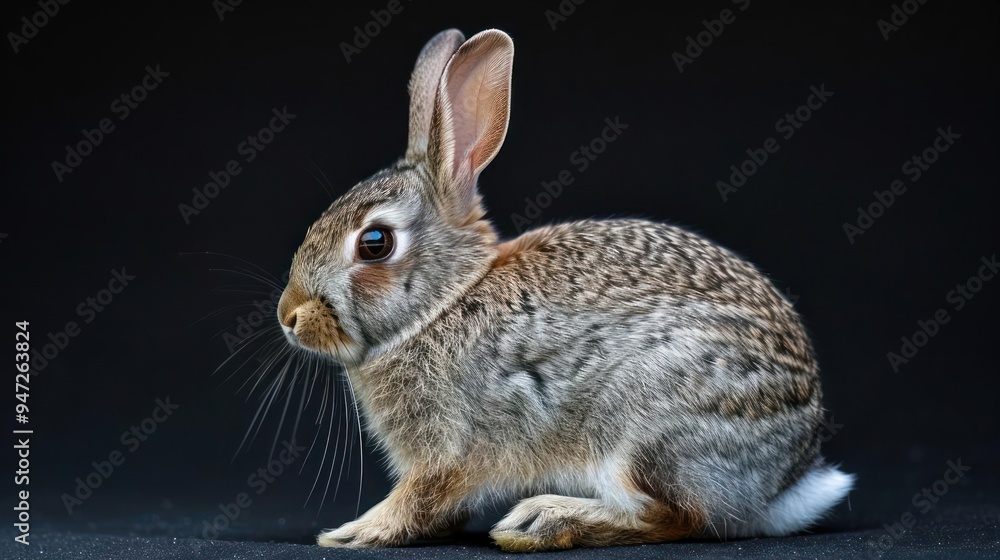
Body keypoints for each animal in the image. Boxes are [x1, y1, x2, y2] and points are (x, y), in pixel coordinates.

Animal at [276, 27, 855, 552]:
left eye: (375, 243)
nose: (289, 315)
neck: (445, 302)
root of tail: (786, 480)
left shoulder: (449, 450)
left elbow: (420, 497)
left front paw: (355, 532)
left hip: (646, 428)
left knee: (675, 517)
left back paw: (541, 521)